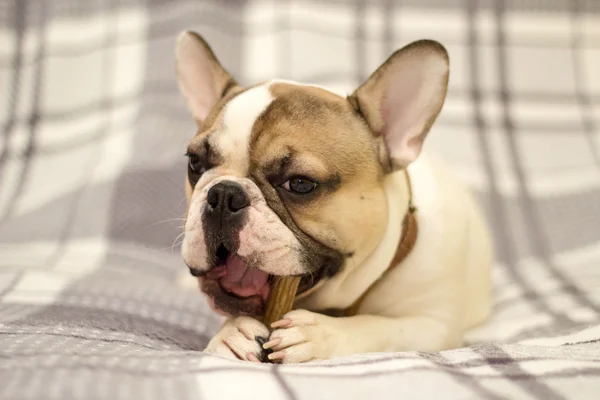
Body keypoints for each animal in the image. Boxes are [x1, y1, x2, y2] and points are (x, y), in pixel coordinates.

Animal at [175, 31, 492, 362]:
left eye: (300, 183)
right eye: (195, 163)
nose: (224, 194)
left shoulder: (433, 327)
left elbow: (380, 328)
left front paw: (320, 335)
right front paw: (230, 332)